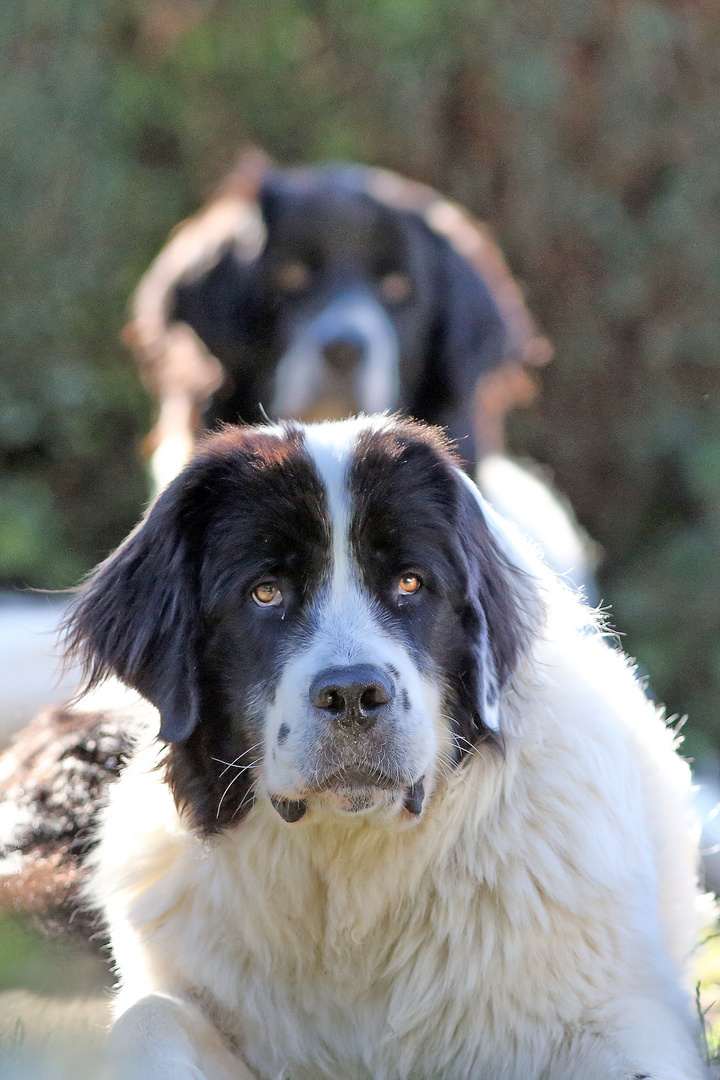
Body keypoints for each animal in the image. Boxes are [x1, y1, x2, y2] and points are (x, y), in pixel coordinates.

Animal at [64, 414, 708, 1080]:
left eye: (409, 583)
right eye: (265, 593)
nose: (352, 693)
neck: (354, 875)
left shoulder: (618, 1013)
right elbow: (148, 1018)